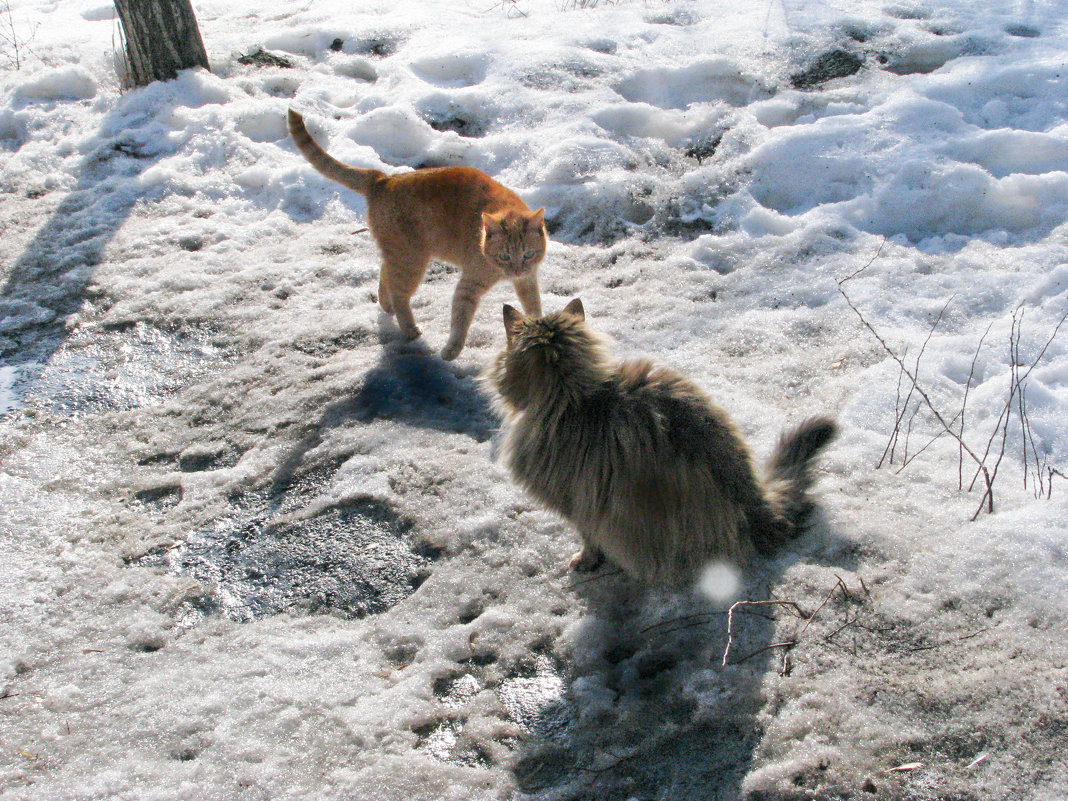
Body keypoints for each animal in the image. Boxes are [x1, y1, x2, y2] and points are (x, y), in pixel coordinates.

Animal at [288, 111, 546, 363]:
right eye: (504, 256)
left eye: (527, 254)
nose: (516, 270)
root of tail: (384, 179)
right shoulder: (469, 284)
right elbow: (460, 319)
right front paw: (451, 350)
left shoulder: (528, 281)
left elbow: (533, 305)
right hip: (411, 261)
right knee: (399, 293)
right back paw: (409, 329)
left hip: (400, 255)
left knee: (385, 274)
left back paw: (386, 305)